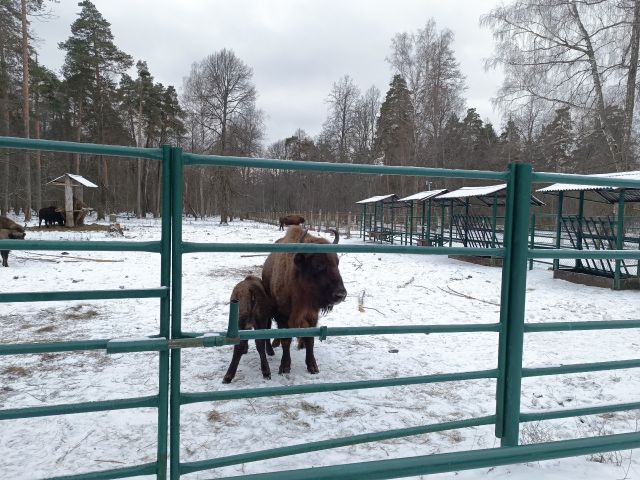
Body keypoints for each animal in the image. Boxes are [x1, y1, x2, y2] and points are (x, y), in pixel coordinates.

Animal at [262, 225, 348, 376]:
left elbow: (310, 340)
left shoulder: (312, 316)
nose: (341, 295)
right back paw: (274, 345)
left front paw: (312, 366)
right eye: (318, 265)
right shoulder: (282, 317)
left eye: (337, 263)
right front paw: (285, 366)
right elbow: (286, 340)